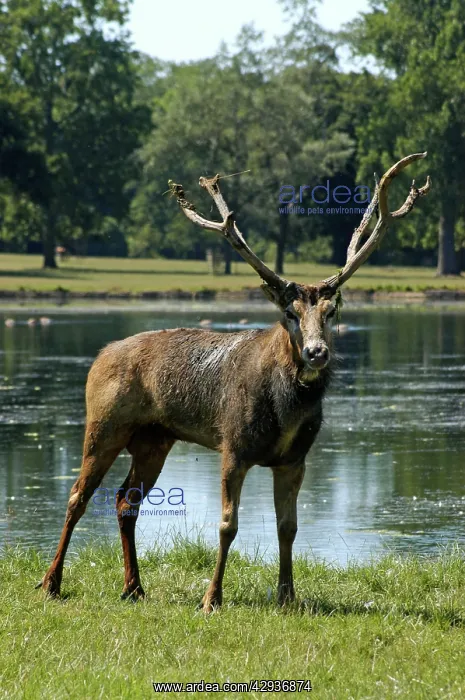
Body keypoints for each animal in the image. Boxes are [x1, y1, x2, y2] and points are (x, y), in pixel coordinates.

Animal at [37, 153, 430, 611]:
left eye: (330, 312)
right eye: (290, 313)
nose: (317, 352)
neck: (285, 413)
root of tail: (98, 357)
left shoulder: (295, 458)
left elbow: (288, 527)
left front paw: (287, 597)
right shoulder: (233, 446)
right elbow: (227, 525)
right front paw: (211, 598)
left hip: (154, 439)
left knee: (123, 501)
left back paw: (133, 587)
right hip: (104, 424)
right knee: (77, 496)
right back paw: (51, 583)